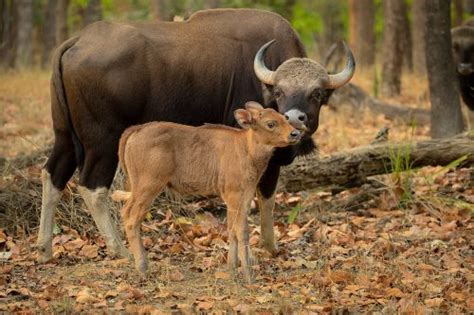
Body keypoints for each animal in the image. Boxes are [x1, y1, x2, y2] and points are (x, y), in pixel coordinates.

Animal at [37, 8, 354, 262]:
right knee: (91, 187)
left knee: (52, 174)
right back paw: (121, 250)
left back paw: (44, 249)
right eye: (279, 92)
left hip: (64, 135)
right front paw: (267, 247)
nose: (294, 119)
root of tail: (77, 41)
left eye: (316, 94)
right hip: (102, 141)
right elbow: (265, 196)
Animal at [116, 103, 300, 284]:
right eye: (271, 124)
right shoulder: (234, 196)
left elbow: (231, 230)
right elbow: (242, 232)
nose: (295, 133)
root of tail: (135, 129)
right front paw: (248, 276)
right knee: (131, 217)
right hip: (148, 186)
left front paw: (232, 270)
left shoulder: (243, 197)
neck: (246, 150)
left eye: (284, 118)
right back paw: (142, 267)